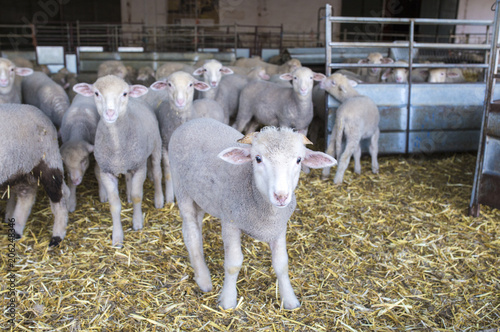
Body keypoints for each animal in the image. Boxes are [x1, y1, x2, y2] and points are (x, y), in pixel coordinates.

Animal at [0, 104, 69, 246]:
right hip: (22, 169)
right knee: (26, 197)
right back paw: (17, 231)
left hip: (48, 159)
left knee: (60, 197)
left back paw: (57, 236)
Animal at [73, 75, 164, 246]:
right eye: (96, 93)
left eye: (124, 94)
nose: (110, 113)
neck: (117, 147)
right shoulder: (106, 172)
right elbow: (114, 205)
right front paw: (117, 237)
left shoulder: (140, 167)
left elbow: (137, 196)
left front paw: (137, 223)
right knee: (128, 178)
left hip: (156, 146)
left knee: (156, 173)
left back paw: (159, 200)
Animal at [149, 70, 226, 202]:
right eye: (169, 84)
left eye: (191, 84)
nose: (180, 101)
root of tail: (209, 100)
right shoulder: (165, 145)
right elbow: (168, 170)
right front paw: (170, 197)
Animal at [170, 116, 338, 308]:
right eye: (257, 159)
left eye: (298, 160)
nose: (281, 196)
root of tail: (195, 120)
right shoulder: (230, 223)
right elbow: (233, 263)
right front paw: (228, 301)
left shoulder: (279, 227)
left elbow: (282, 263)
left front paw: (290, 300)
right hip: (181, 188)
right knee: (191, 232)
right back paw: (203, 279)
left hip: (200, 195)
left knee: (194, 227)